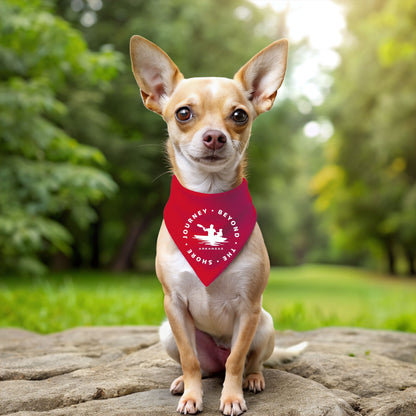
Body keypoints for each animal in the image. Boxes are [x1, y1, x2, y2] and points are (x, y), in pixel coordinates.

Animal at [129, 36, 306, 416]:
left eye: (239, 115)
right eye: (183, 113)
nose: (214, 137)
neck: (209, 200)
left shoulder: (249, 308)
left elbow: (236, 360)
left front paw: (232, 397)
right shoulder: (174, 305)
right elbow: (190, 359)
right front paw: (192, 396)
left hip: (265, 324)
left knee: (248, 361)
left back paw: (253, 379)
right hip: (166, 331)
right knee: (205, 365)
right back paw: (182, 382)